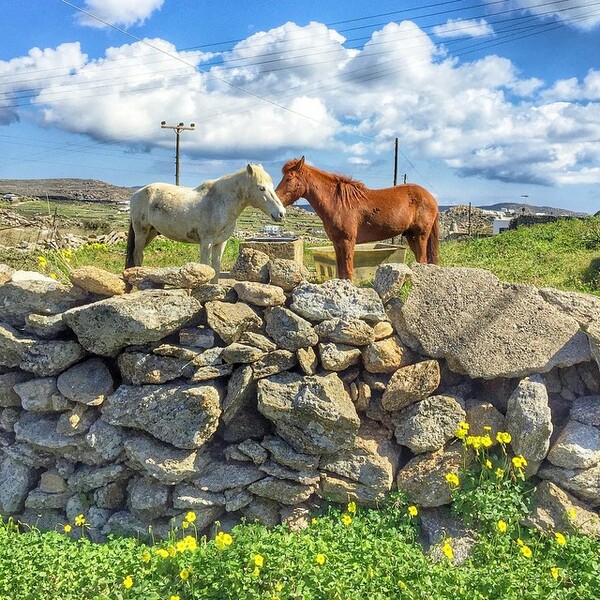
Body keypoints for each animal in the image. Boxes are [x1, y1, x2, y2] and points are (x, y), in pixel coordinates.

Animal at [125, 163, 286, 282]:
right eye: (261, 188)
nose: (281, 213)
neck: (219, 202)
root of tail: (136, 194)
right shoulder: (206, 242)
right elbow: (205, 266)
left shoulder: (220, 243)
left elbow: (216, 268)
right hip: (141, 232)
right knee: (137, 255)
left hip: (151, 233)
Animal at [276, 159, 440, 282]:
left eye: (289, 178)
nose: (277, 202)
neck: (338, 203)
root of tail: (430, 197)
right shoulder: (337, 242)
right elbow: (341, 271)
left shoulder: (348, 241)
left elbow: (348, 271)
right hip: (411, 236)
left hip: (421, 235)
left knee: (422, 259)